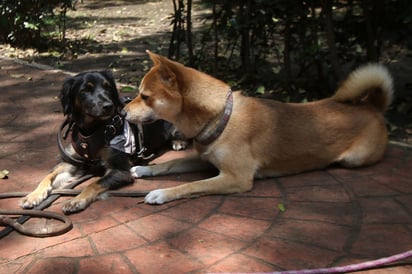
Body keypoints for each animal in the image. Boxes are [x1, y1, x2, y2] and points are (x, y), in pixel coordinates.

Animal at [19, 71, 186, 214]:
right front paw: (33, 195)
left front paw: (77, 200)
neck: (93, 129)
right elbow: (49, 175)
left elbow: (94, 183)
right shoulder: (74, 162)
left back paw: (178, 142)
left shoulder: (121, 170)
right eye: (85, 90)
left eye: (107, 87)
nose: (108, 106)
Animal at [124, 50, 392, 203]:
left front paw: (162, 193)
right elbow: (170, 165)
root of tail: (372, 106)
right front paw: (144, 169)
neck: (221, 116)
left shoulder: (237, 177)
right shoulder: (204, 159)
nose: (122, 112)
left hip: (355, 159)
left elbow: (192, 185)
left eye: (145, 96)